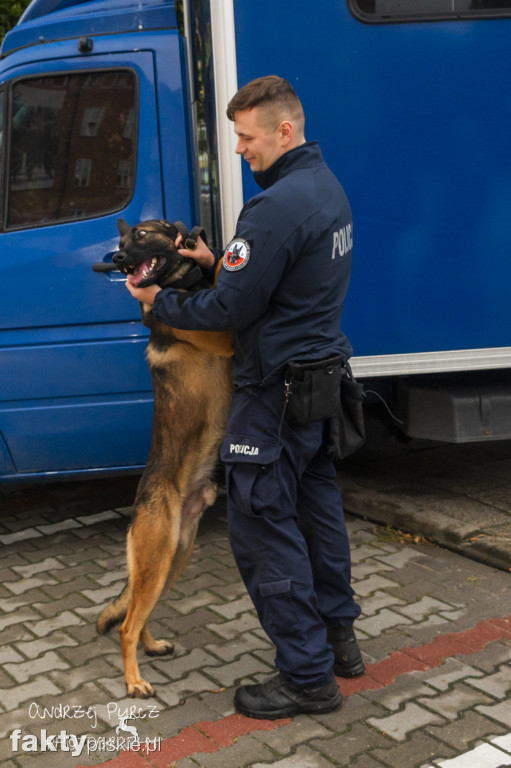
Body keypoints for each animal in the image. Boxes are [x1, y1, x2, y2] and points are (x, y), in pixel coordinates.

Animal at [97, 219, 233, 700]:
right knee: (126, 625)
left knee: (139, 615)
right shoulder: (224, 333)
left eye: (139, 235)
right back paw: (134, 681)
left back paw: (152, 647)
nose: (118, 259)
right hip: (158, 561)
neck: (179, 284)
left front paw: (200, 245)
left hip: (174, 558)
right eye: (121, 243)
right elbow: (222, 283)